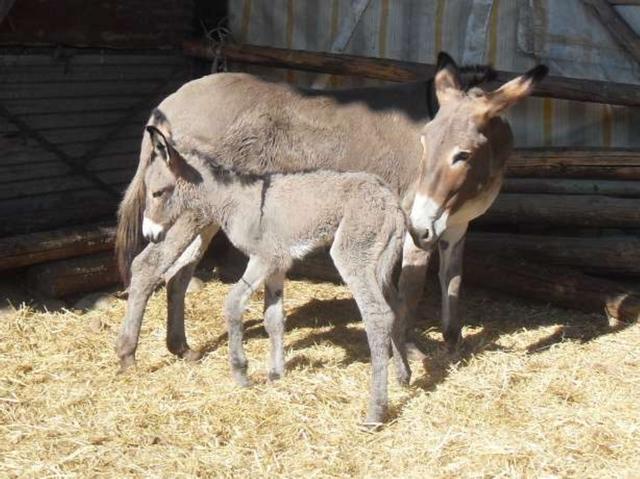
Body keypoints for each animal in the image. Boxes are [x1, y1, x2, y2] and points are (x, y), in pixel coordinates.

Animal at [141, 125, 410, 426]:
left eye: (157, 193)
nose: (149, 235)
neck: (234, 200)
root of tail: (392, 202)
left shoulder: (264, 259)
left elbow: (233, 304)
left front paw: (241, 373)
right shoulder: (277, 266)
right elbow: (273, 319)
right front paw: (275, 373)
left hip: (353, 255)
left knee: (377, 315)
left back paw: (376, 411)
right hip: (380, 263)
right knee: (397, 307)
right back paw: (403, 376)